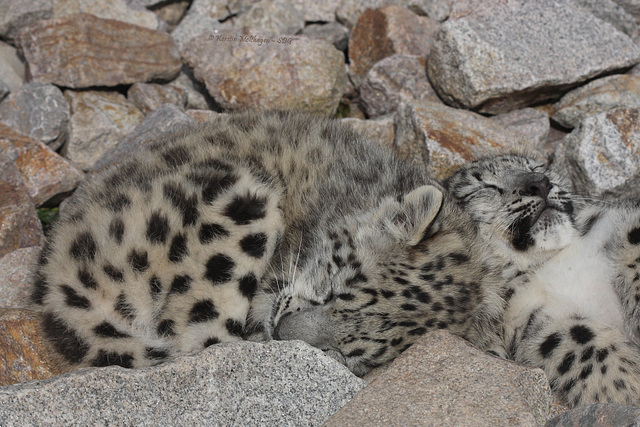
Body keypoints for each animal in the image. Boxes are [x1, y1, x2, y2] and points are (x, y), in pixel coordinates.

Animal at [444, 154, 640, 408]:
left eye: (536, 167)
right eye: (485, 187)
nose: (540, 183)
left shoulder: (612, 224)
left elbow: (633, 237)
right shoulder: (526, 319)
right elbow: (575, 338)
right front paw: (629, 384)